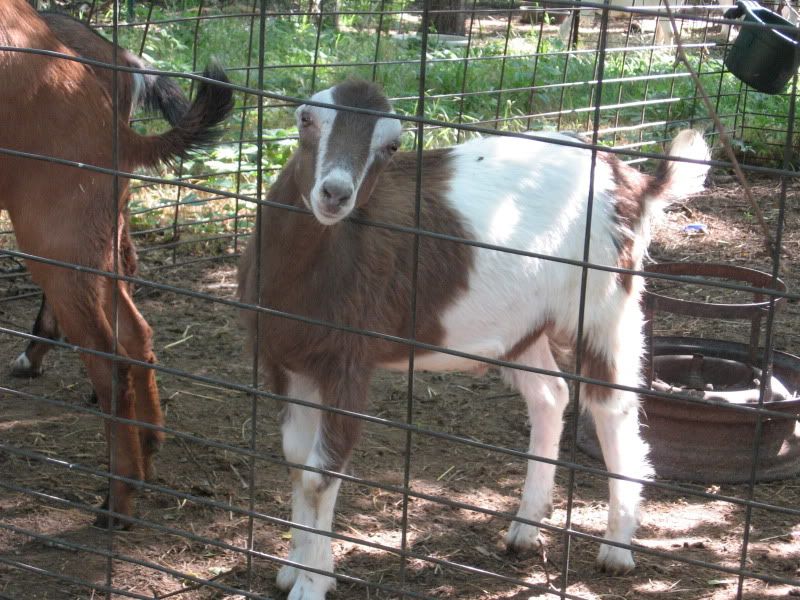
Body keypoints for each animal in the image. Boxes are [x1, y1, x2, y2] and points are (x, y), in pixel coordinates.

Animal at [238, 79, 709, 599]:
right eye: (306, 119)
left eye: (392, 145)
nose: (335, 194)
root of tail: (633, 181)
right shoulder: (285, 360)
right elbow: (297, 462)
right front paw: (293, 565)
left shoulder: (348, 361)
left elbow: (321, 474)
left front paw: (312, 582)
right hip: (524, 325)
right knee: (551, 394)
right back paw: (525, 528)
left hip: (606, 299)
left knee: (613, 406)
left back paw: (617, 548)